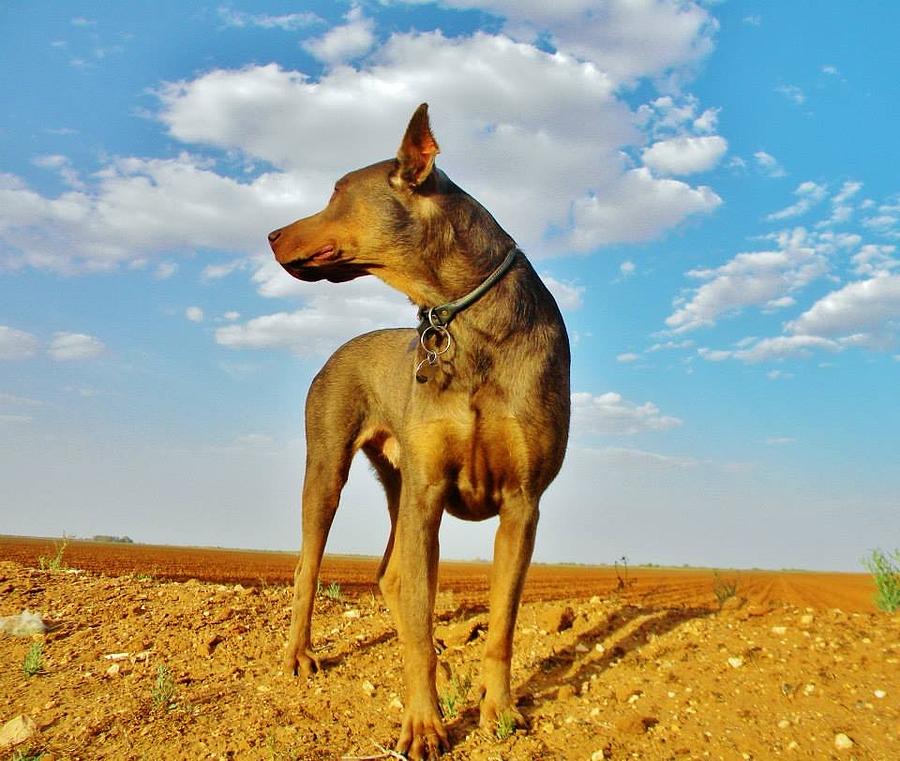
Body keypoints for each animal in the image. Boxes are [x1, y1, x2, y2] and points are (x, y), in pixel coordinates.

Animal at [268, 104, 572, 756]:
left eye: (336, 192)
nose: (271, 234)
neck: (469, 321)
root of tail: (337, 352)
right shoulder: (429, 491)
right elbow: (417, 615)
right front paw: (425, 725)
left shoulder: (522, 503)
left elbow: (502, 627)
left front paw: (499, 711)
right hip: (330, 468)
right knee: (312, 567)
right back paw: (300, 655)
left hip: (397, 482)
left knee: (390, 577)